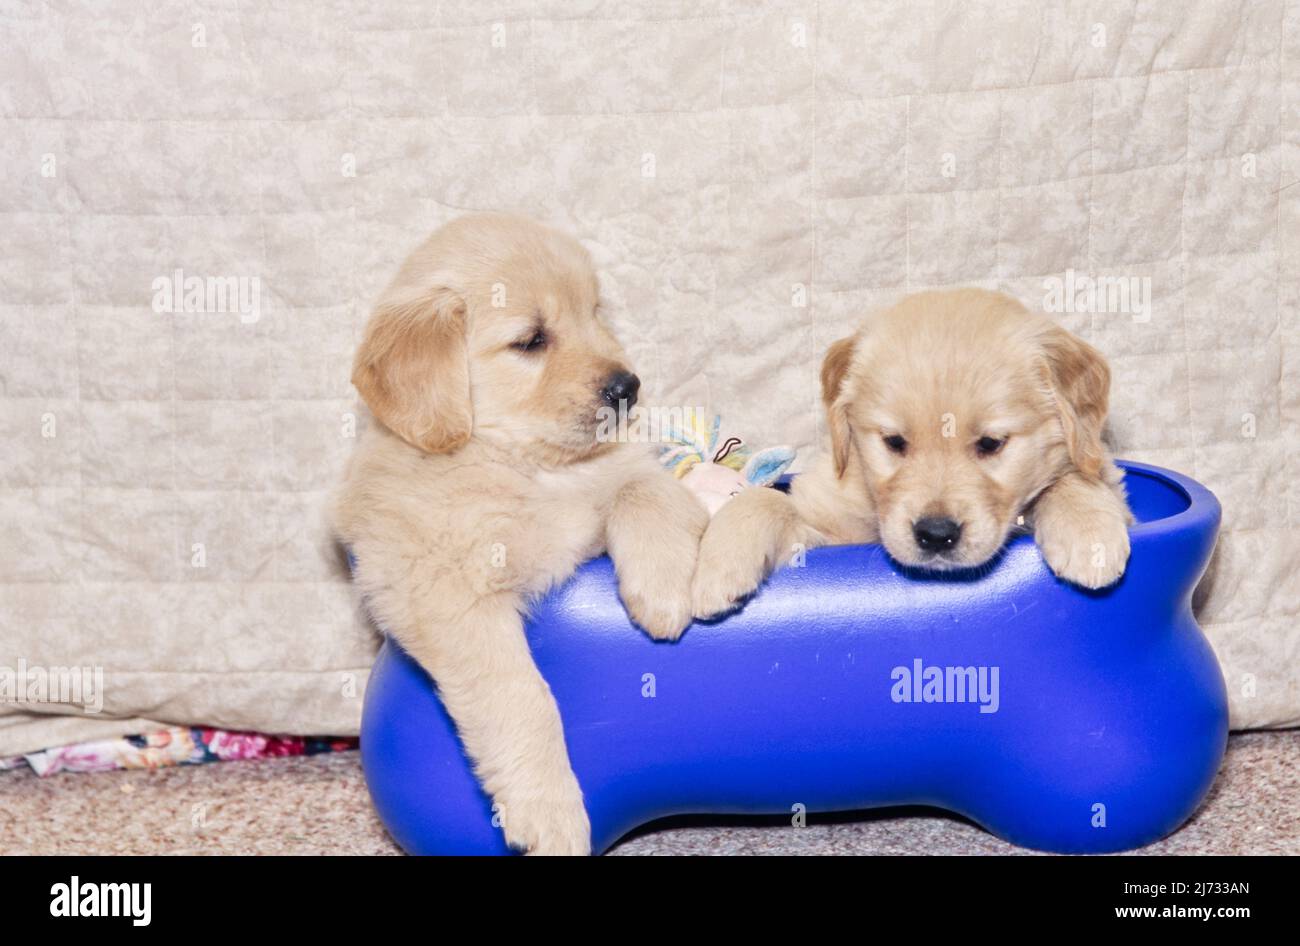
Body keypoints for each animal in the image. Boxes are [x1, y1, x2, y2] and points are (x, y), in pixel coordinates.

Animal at [330, 214, 707, 857]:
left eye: (594, 313)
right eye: (531, 340)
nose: (628, 387)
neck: (521, 464)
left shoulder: (609, 495)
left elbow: (643, 488)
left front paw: (661, 591)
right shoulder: (452, 599)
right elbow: (522, 697)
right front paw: (550, 811)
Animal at [696, 285, 1133, 613]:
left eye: (991, 444)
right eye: (894, 442)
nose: (936, 535)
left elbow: (1071, 478)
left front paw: (1089, 534)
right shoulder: (831, 527)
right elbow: (764, 501)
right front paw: (718, 565)